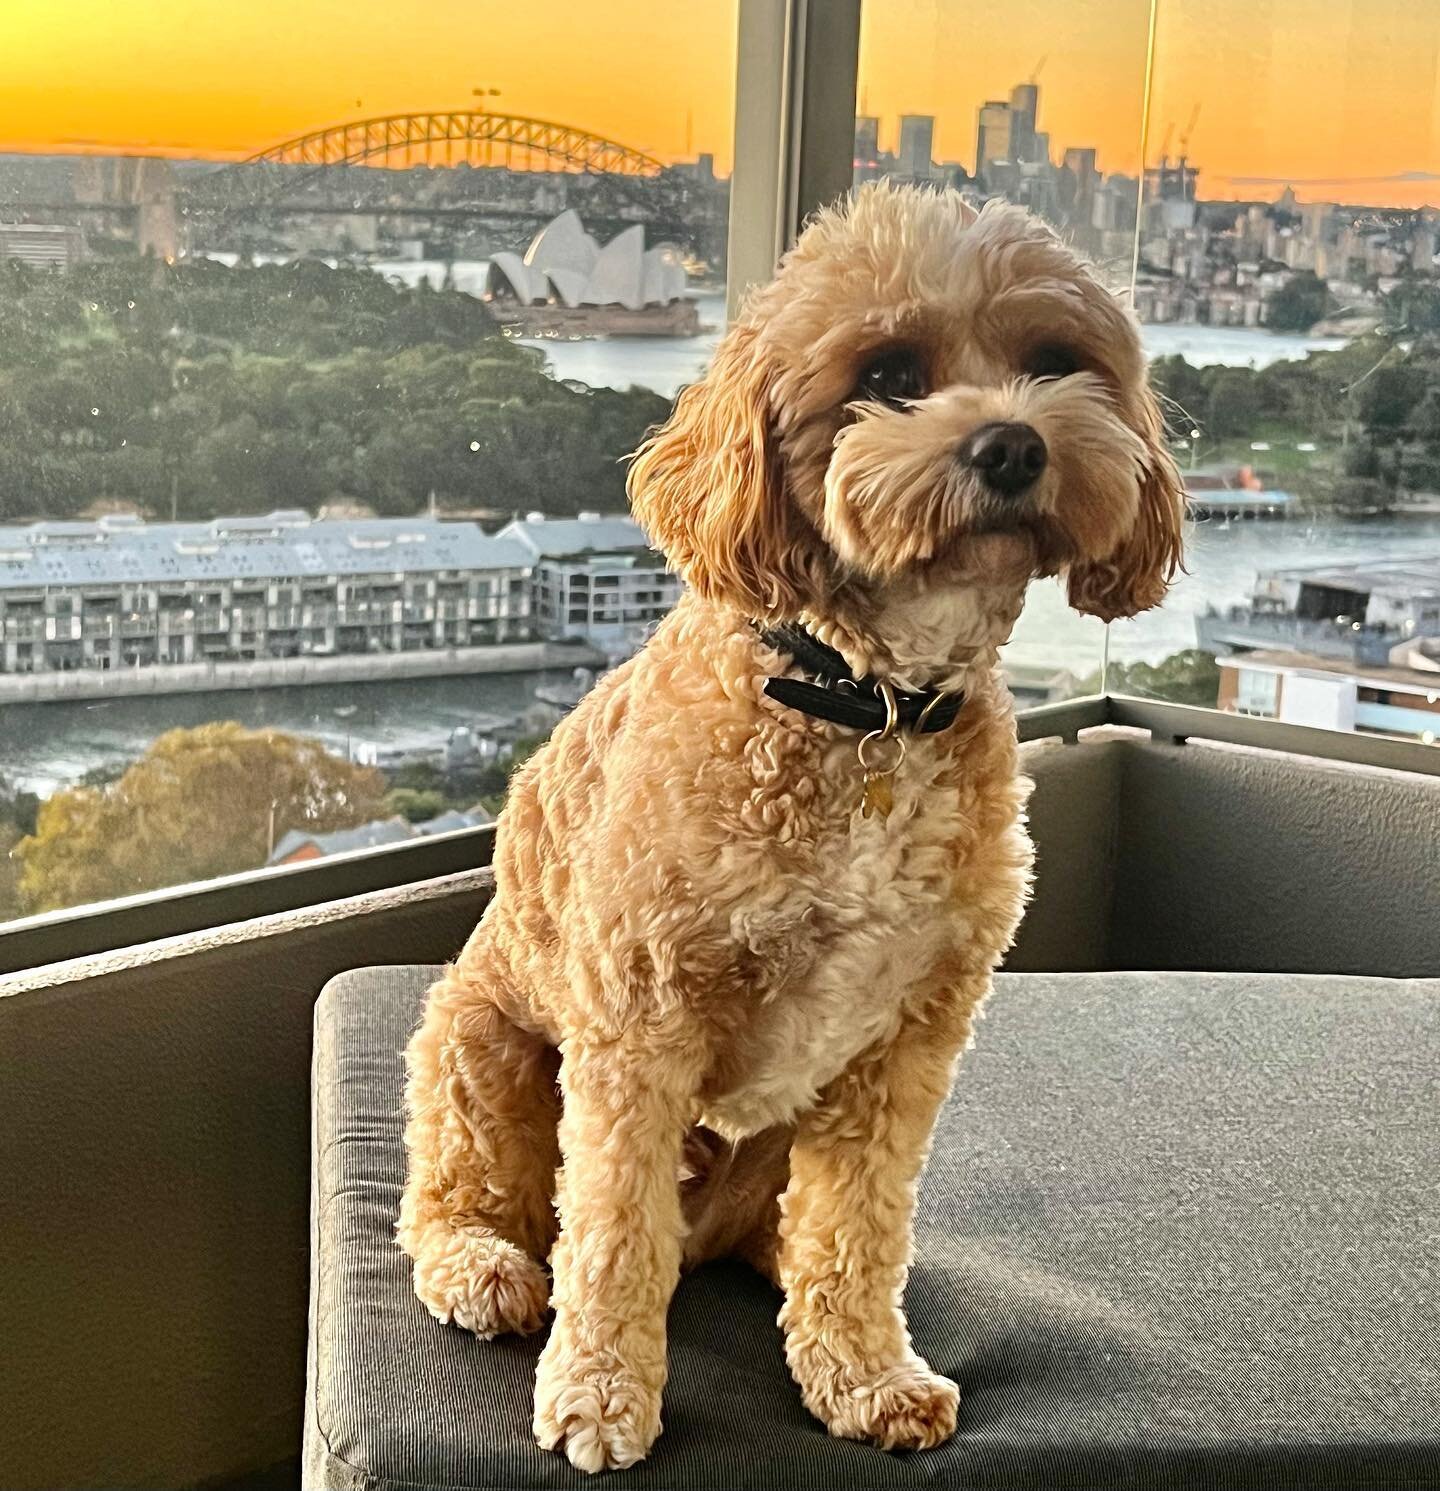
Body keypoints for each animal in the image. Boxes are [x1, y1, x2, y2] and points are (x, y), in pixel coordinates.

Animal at [399, 180, 1186, 1473]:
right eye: (890, 374)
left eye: (1055, 361)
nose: (1013, 445)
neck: (867, 702)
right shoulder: (639, 1026)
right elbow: (610, 1232)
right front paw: (601, 1393)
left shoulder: (908, 1038)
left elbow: (859, 1226)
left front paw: (862, 1373)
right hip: (479, 1043)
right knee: (469, 1195)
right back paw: (484, 1266)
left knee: (797, 1228)